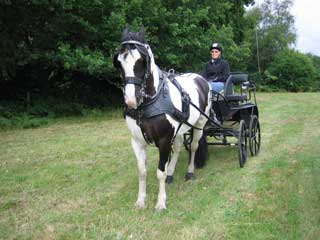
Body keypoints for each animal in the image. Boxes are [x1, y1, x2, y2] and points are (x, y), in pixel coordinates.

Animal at [114, 26, 211, 210]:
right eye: (119, 62)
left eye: (143, 61)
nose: (131, 100)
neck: (149, 102)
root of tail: (201, 78)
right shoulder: (136, 141)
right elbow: (142, 171)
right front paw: (140, 200)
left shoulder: (165, 140)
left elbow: (160, 172)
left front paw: (160, 202)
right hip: (180, 128)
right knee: (179, 146)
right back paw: (171, 173)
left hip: (200, 124)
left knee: (194, 146)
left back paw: (190, 172)